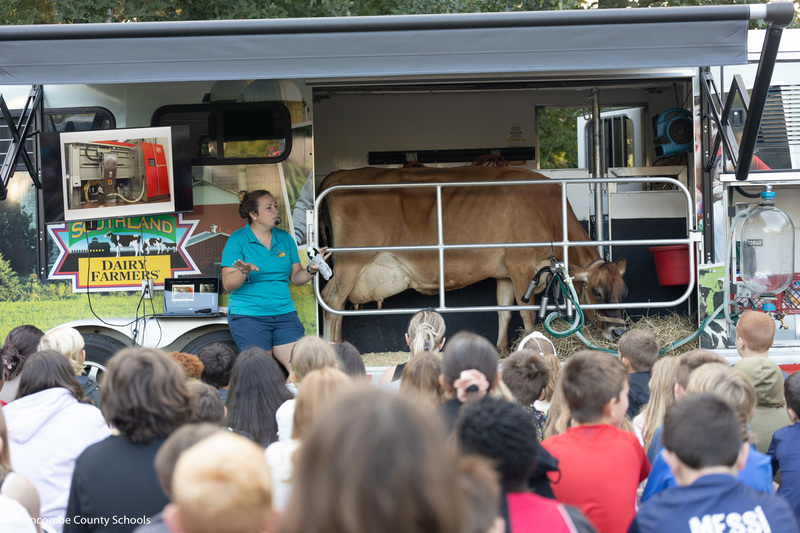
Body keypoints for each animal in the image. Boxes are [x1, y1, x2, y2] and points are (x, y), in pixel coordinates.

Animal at [318, 164, 624, 352]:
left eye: (625, 292)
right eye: (597, 293)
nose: (617, 333)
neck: (548, 211)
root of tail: (338, 175)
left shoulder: (505, 273)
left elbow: (503, 310)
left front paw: (502, 350)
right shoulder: (521, 266)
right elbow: (525, 312)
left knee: (338, 305)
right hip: (350, 262)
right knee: (332, 299)